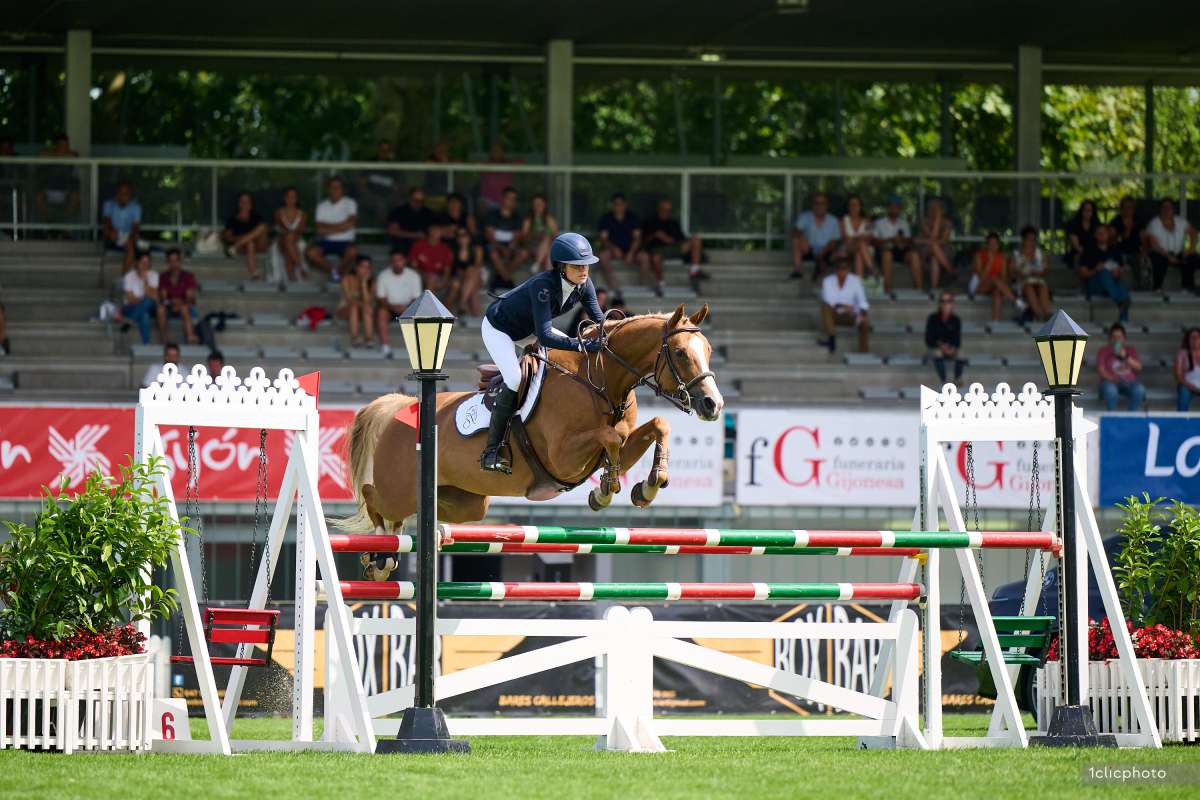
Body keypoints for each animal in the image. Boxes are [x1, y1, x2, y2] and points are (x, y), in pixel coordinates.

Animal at [343, 303, 724, 542]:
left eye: (708, 350)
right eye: (680, 353)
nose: (713, 404)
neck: (601, 380)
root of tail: (400, 408)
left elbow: (656, 425)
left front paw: (646, 485)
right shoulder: (563, 456)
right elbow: (610, 437)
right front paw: (607, 487)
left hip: (468, 502)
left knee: (417, 511)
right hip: (400, 490)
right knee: (374, 499)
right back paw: (381, 554)